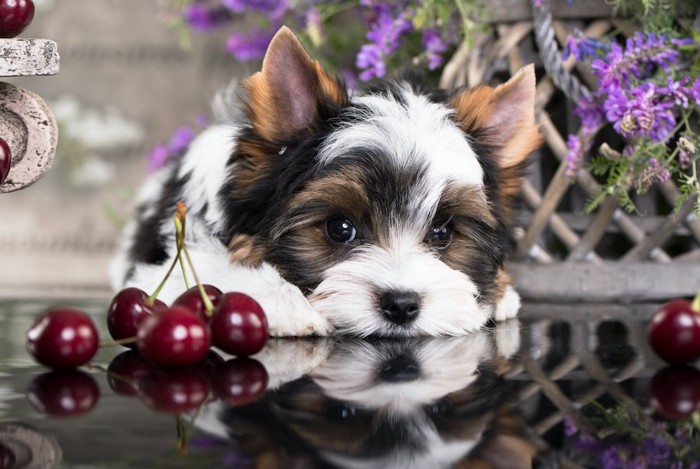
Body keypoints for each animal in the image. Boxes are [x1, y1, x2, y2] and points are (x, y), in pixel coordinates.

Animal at [112, 25, 544, 334]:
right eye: (340, 228)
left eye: (442, 233)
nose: (402, 305)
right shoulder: (171, 266)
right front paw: (282, 301)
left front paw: (501, 295)